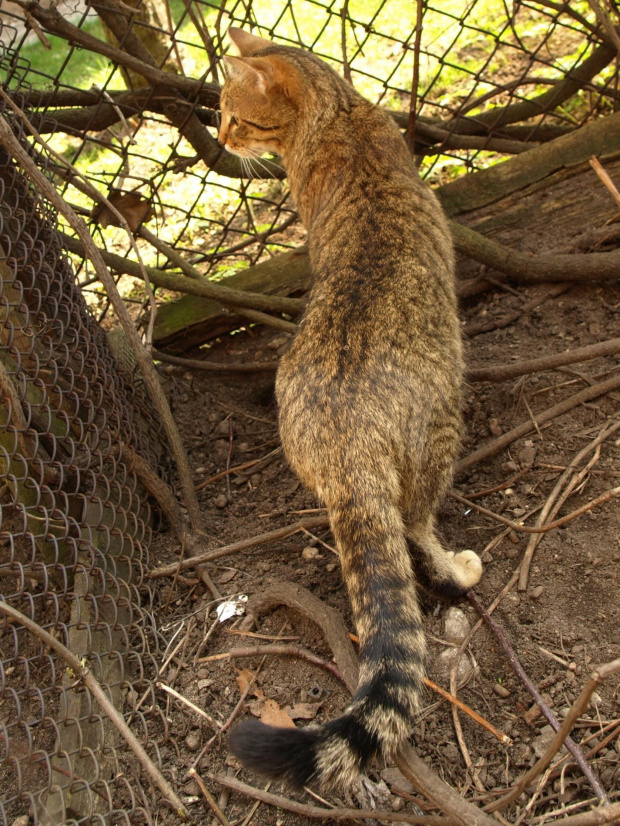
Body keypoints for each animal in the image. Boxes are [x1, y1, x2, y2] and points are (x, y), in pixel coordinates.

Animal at [218, 27, 484, 784]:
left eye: (235, 115)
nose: (219, 137)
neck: (335, 116)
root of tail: (345, 450)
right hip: (439, 433)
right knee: (418, 525)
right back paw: (456, 566)